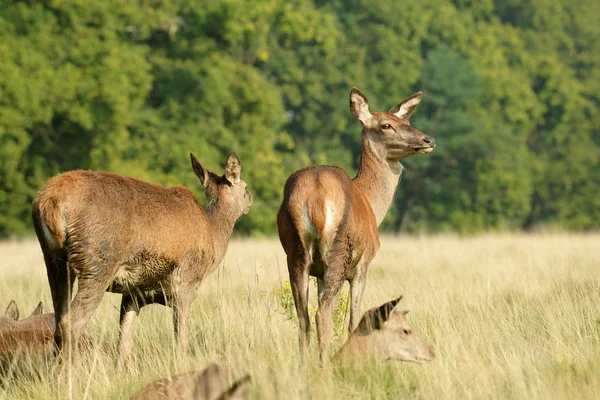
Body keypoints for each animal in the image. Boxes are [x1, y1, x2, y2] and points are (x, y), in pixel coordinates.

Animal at [31, 152, 252, 368]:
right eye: (245, 187)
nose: (250, 198)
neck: (214, 238)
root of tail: (49, 200)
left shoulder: (133, 293)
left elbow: (124, 345)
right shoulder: (186, 284)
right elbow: (180, 339)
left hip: (54, 261)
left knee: (59, 319)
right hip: (98, 262)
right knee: (71, 322)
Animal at [276, 88, 436, 366]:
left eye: (405, 121)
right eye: (386, 125)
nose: (428, 139)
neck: (372, 203)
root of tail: (315, 196)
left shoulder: (319, 272)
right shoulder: (365, 263)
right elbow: (353, 320)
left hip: (295, 252)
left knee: (303, 318)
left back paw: (304, 365)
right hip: (340, 250)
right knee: (323, 313)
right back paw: (324, 365)